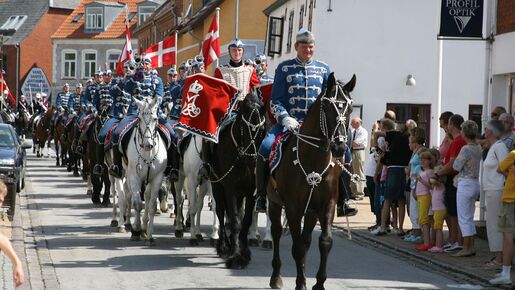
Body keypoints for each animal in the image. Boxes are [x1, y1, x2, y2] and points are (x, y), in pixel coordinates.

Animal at [123, 95, 167, 245]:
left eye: (155, 118)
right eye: (139, 119)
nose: (148, 144)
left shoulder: (158, 177)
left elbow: (152, 205)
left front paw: (149, 235)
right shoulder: (134, 176)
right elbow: (137, 204)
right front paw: (136, 230)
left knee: (147, 196)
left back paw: (144, 227)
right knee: (129, 194)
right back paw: (129, 224)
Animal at [210, 89, 268, 268]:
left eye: (261, 130)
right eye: (243, 127)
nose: (251, 160)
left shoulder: (251, 192)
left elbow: (245, 219)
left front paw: (244, 253)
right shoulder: (230, 189)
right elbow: (234, 221)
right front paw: (235, 255)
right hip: (217, 187)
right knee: (221, 212)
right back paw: (223, 246)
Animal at [266, 73, 354, 290]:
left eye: (350, 109)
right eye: (328, 106)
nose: (340, 147)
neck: (313, 159)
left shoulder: (326, 205)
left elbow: (324, 242)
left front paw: (319, 283)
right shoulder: (293, 208)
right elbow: (297, 247)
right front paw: (300, 283)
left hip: (311, 211)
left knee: (306, 240)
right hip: (274, 203)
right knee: (277, 232)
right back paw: (276, 276)